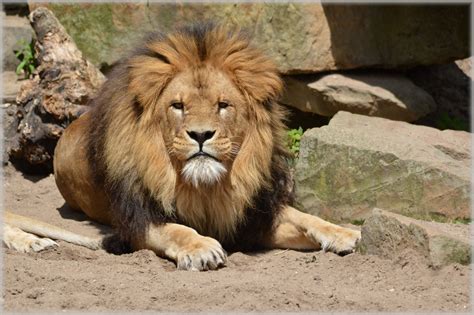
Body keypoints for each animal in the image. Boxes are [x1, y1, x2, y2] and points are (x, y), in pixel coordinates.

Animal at [2, 24, 360, 272]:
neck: (208, 188)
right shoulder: (137, 223)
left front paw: (346, 233)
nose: (200, 134)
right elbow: (176, 229)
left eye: (223, 105)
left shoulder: (253, 218)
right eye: (177, 106)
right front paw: (201, 248)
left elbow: (305, 217)